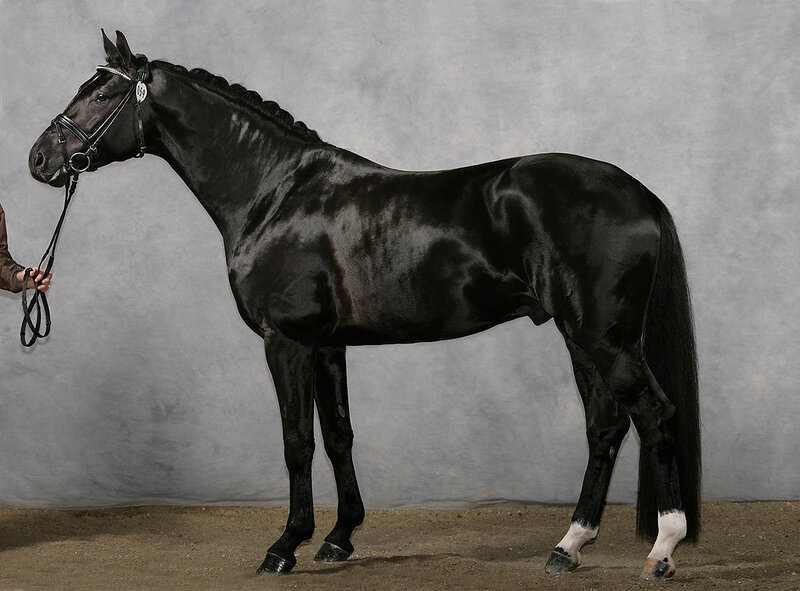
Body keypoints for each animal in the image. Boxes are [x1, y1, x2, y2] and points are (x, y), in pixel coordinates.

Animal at [28, 31, 700, 580]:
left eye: (100, 94)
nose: (39, 159)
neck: (274, 193)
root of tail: (639, 193)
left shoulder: (288, 341)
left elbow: (297, 440)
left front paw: (284, 547)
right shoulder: (328, 345)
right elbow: (339, 435)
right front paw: (339, 539)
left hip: (603, 337)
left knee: (655, 415)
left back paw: (662, 548)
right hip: (580, 335)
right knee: (606, 426)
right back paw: (568, 546)